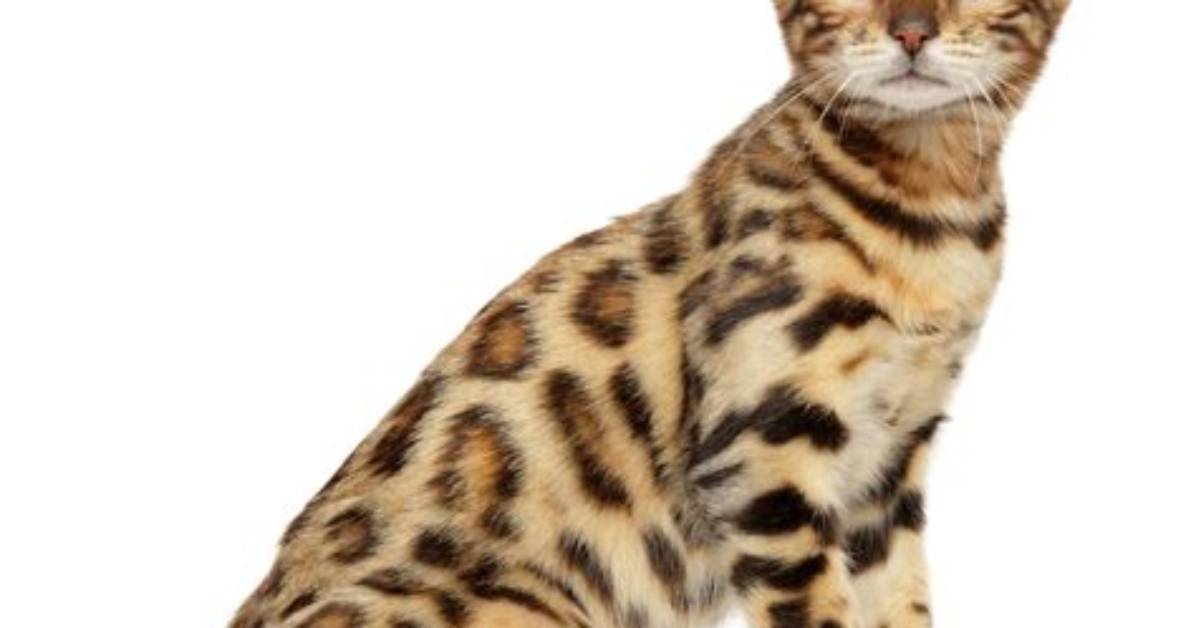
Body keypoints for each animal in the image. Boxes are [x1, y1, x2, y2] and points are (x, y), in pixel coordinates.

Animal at [231, 1, 1071, 627]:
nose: (912, 31)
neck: (932, 208)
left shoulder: (888, 463)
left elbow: (899, 602)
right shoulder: (763, 449)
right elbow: (818, 608)